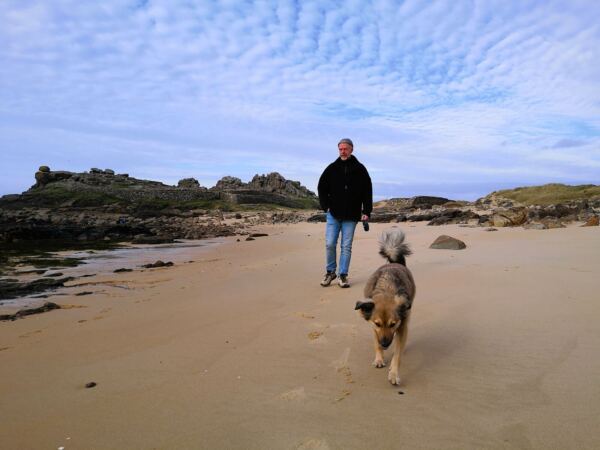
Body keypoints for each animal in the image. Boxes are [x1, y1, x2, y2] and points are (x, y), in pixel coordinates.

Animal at [355, 228, 416, 385]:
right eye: (377, 323)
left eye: (393, 324)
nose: (385, 344)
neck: (386, 290)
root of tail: (394, 263)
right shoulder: (373, 327)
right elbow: (375, 343)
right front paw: (379, 359)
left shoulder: (402, 326)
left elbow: (398, 355)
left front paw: (393, 374)